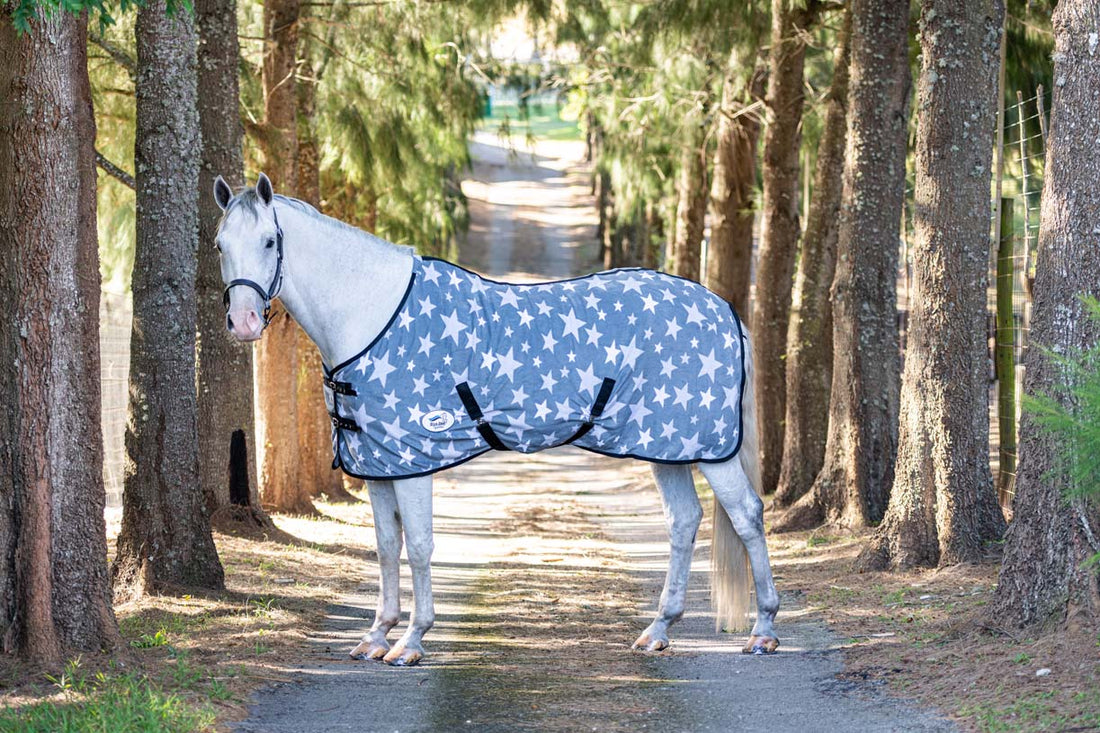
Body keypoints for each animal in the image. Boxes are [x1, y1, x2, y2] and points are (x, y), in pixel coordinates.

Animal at [212, 172, 780, 666]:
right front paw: (375, 636)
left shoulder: (413, 459)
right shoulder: (378, 462)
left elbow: (420, 547)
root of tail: (722, 308)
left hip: (708, 448)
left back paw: (764, 631)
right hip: (665, 445)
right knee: (683, 521)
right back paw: (659, 630)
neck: (374, 314)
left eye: (269, 241)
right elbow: (387, 548)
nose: (243, 323)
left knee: (747, 516)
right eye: (220, 244)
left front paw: (411, 642)